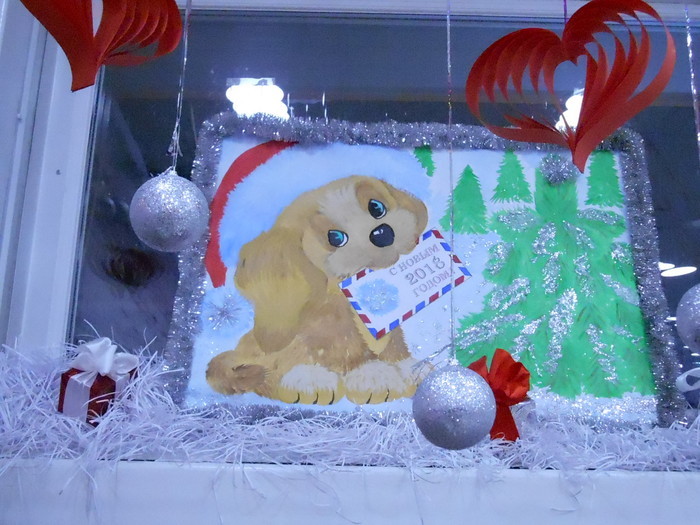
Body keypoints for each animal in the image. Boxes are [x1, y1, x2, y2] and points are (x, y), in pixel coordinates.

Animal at [206, 175, 428, 404]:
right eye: (336, 238)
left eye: (376, 207)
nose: (382, 233)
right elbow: (330, 349)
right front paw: (370, 376)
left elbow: (393, 342)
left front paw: (407, 367)